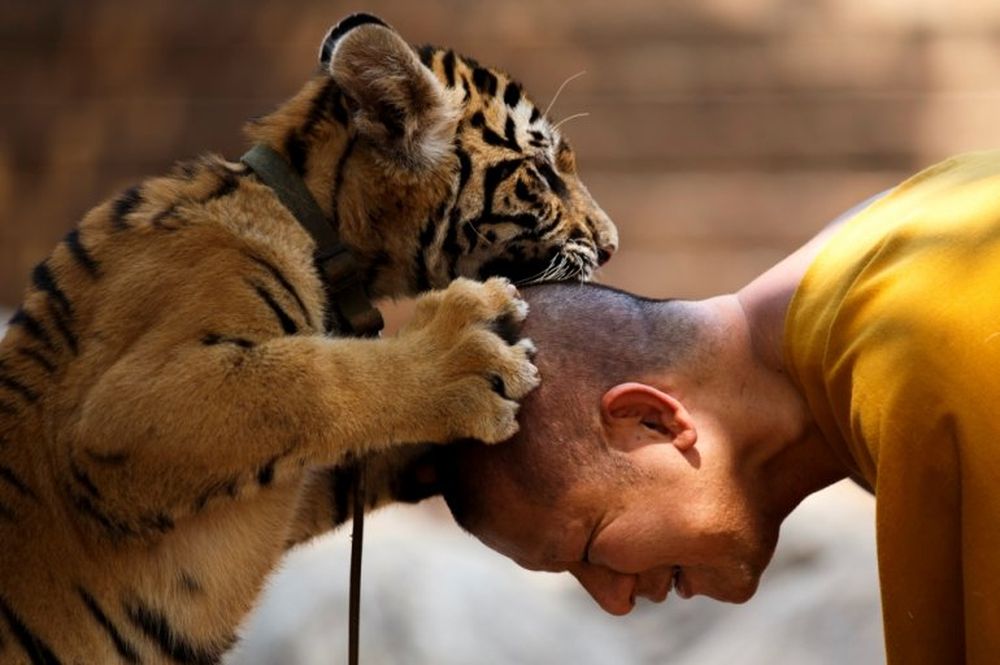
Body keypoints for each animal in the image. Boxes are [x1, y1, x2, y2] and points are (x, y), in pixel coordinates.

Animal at [0, 12, 617, 664]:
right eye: (542, 174)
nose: (611, 245)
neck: (318, 224)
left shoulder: (288, 492)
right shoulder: (129, 409)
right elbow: (312, 382)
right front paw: (462, 355)